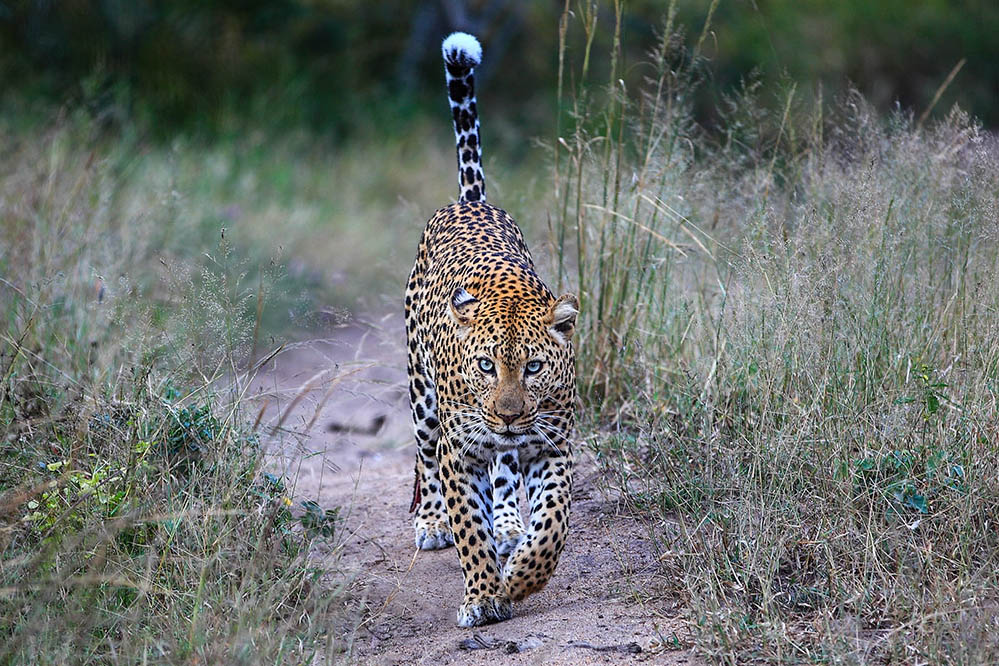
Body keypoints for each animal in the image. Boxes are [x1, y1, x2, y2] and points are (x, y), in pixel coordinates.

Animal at [405, 32, 578, 627]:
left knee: (505, 476)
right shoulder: (461, 453)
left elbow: (551, 525)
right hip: (423, 399)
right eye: (485, 365)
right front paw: (482, 595)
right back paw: (432, 522)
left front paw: (521, 574)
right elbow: (469, 531)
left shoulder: (553, 446)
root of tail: (470, 202)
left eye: (534, 367)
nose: (506, 414)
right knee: (426, 457)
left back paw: (508, 526)